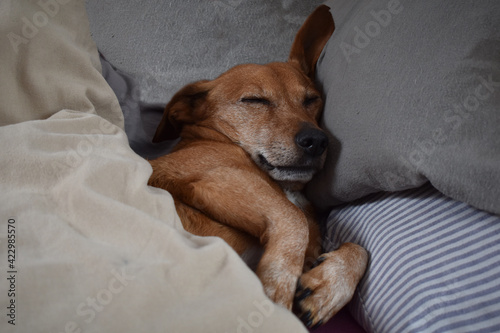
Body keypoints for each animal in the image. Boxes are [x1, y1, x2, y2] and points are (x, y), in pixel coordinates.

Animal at [148, 4, 368, 326]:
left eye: (312, 99)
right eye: (255, 100)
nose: (317, 141)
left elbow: (358, 247)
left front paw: (326, 287)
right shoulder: (215, 174)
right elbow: (293, 218)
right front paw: (275, 296)